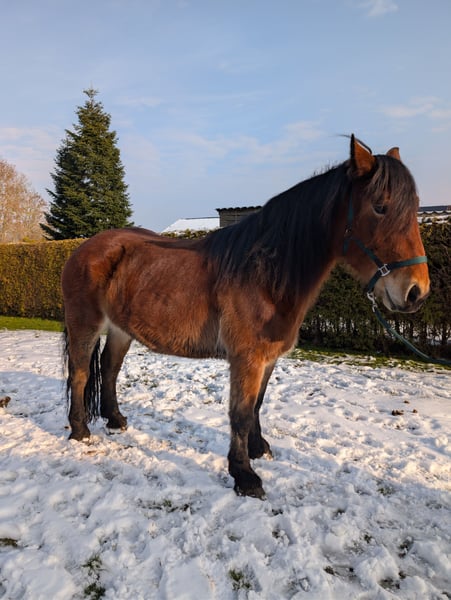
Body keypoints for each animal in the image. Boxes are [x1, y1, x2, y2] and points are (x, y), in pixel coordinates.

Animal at [62, 135, 430, 499]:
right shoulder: (246, 358)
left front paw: (257, 449)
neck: (265, 275)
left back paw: (115, 420)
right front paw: (244, 476)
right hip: (85, 324)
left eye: (413, 208)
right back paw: (79, 431)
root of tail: (84, 248)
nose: (416, 291)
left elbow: (257, 405)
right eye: (380, 206)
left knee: (109, 369)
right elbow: (239, 413)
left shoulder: (268, 359)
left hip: (120, 330)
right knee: (80, 374)